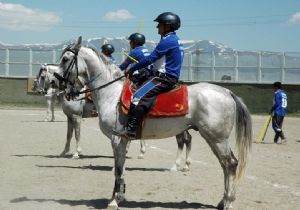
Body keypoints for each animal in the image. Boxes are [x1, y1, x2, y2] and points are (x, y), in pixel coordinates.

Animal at [56, 37, 253, 210]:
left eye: (65, 59)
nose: (59, 82)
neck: (111, 94)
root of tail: (227, 92)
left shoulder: (116, 139)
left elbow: (118, 170)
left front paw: (113, 201)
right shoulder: (122, 141)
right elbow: (121, 168)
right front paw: (120, 196)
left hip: (217, 138)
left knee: (230, 164)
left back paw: (228, 202)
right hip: (212, 138)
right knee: (224, 164)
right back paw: (222, 201)